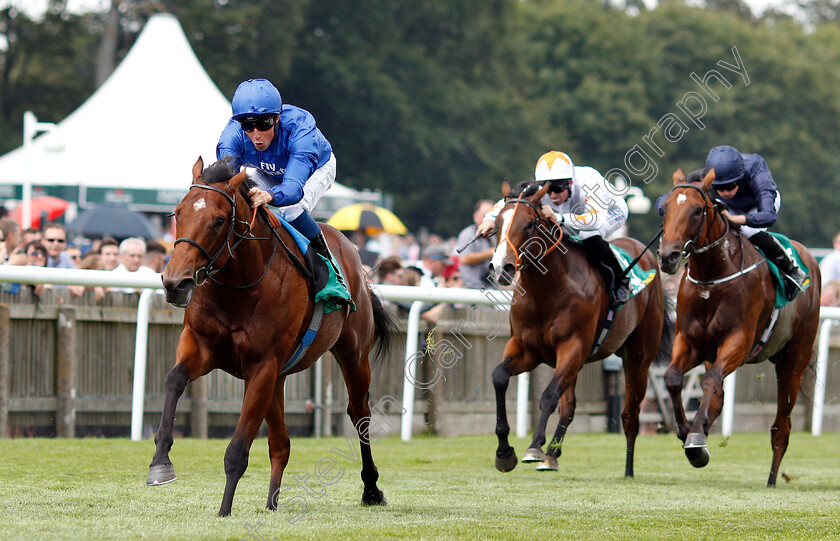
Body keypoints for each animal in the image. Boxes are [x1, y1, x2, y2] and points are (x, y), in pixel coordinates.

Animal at [145, 156, 394, 516]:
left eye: (219, 220)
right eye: (177, 213)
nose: (175, 283)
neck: (239, 288)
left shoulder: (262, 366)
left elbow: (237, 450)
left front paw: (224, 511)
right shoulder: (202, 346)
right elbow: (174, 379)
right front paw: (160, 463)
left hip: (353, 355)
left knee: (359, 413)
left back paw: (371, 489)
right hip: (280, 377)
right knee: (281, 443)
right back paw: (272, 503)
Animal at [488, 180, 668, 472]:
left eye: (529, 224)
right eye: (497, 223)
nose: (501, 268)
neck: (548, 291)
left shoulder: (573, 346)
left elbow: (548, 396)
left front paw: (534, 446)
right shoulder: (526, 349)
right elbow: (499, 377)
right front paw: (504, 452)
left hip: (638, 357)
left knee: (631, 414)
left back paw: (628, 470)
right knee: (570, 405)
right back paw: (552, 454)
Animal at [656, 167, 820, 484]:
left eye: (697, 210)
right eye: (664, 209)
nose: (668, 256)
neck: (712, 277)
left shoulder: (739, 342)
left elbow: (709, 381)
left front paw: (695, 439)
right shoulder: (691, 342)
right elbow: (672, 378)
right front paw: (687, 432)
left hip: (793, 360)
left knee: (781, 427)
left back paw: (772, 479)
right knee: (718, 397)